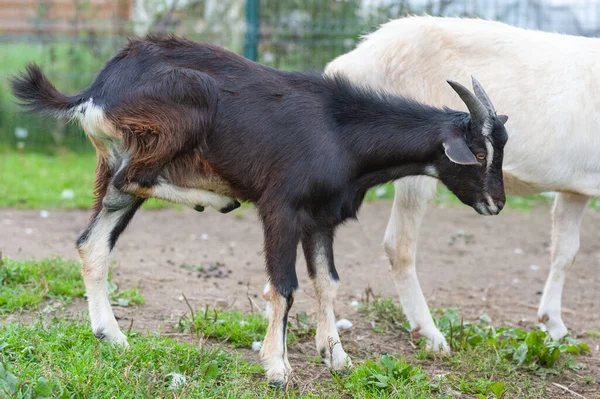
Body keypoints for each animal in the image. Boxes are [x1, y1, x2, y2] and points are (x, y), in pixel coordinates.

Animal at [9, 35, 506, 388]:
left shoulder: (322, 220)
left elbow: (327, 282)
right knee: (135, 177)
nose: (496, 203)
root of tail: (96, 90)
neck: (342, 132)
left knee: (92, 241)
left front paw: (337, 357)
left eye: (501, 148)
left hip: (117, 163)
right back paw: (213, 197)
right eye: (479, 153)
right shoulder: (282, 209)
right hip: (175, 116)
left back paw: (111, 335)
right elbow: (284, 287)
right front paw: (277, 366)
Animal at [328, 17, 600, 352]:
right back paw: (430, 333)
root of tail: (349, 62)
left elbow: (565, 252)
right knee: (398, 245)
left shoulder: (576, 190)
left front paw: (554, 326)